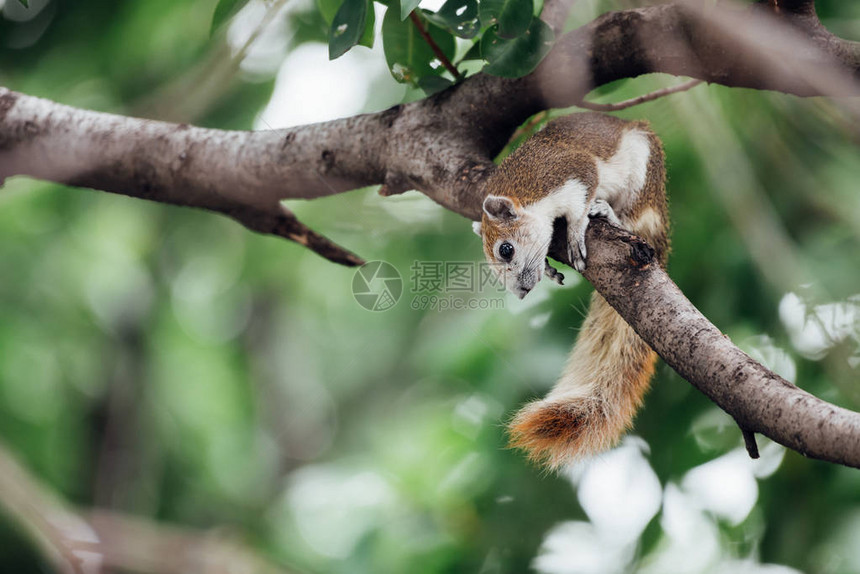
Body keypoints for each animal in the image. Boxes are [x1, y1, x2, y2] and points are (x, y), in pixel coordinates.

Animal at [474, 112, 668, 472]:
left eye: (506, 249)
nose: (521, 292)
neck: (525, 190)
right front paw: (550, 267)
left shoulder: (573, 172)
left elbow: (581, 202)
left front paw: (577, 231)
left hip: (642, 172)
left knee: (632, 215)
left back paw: (609, 212)